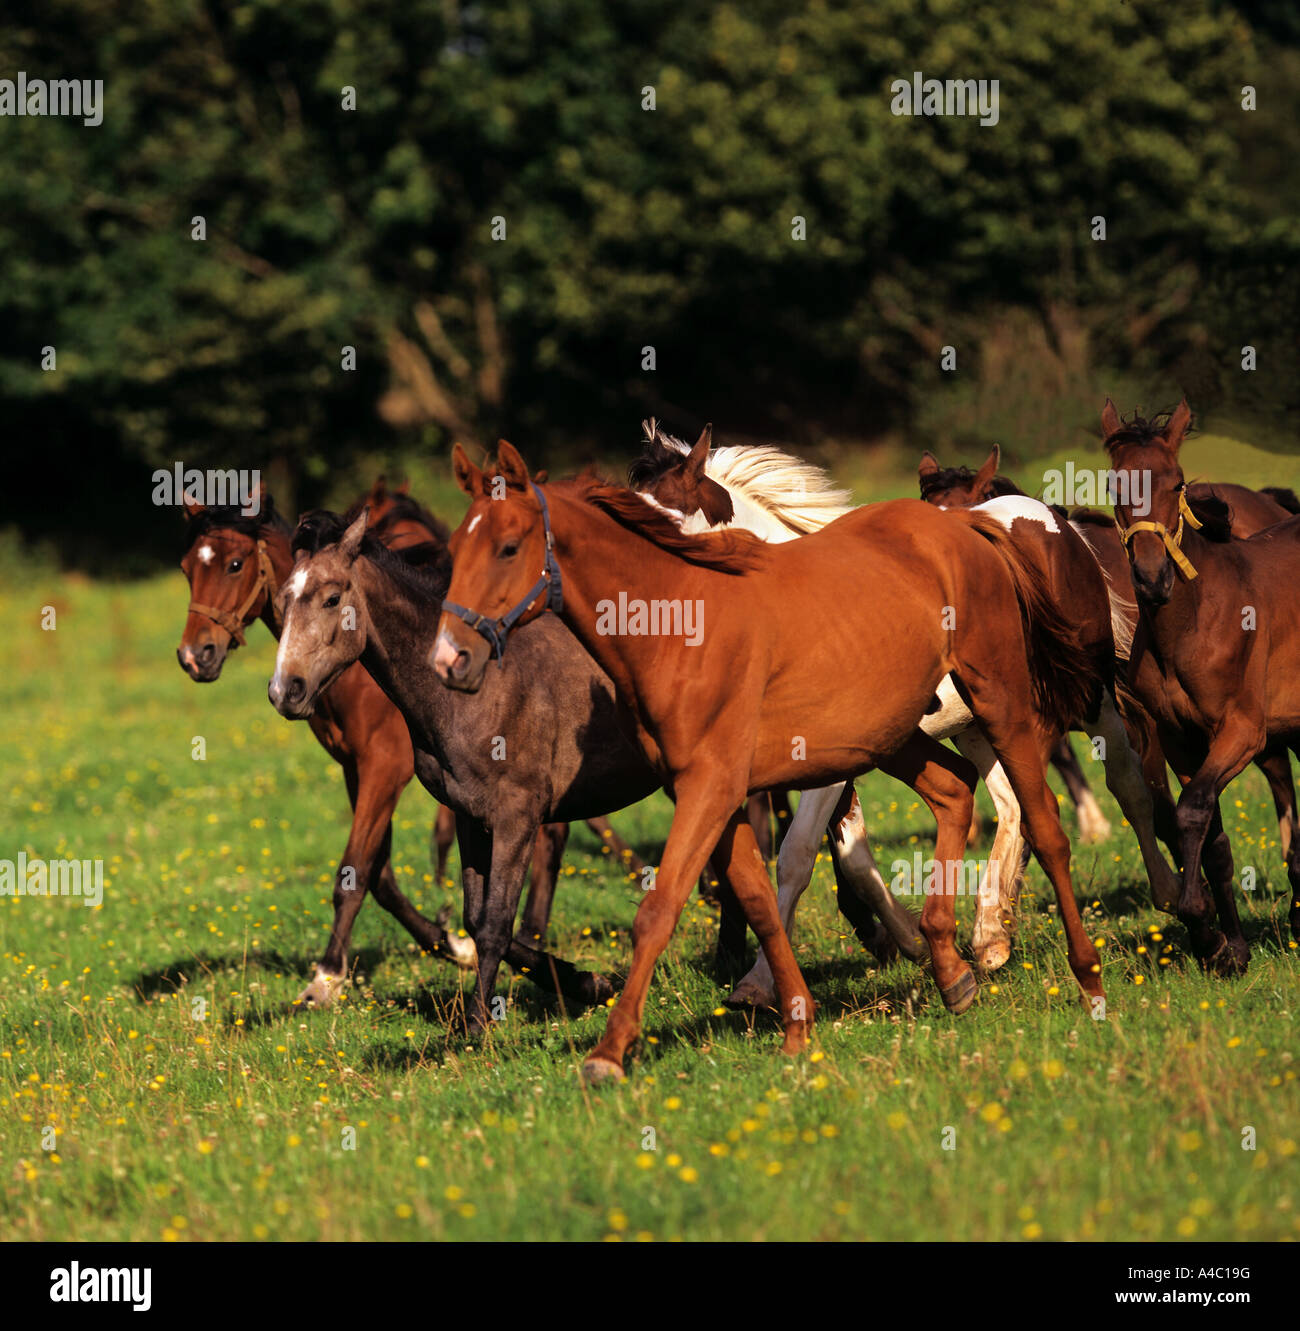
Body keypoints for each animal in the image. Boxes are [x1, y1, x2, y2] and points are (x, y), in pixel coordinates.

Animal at [431, 441, 1101, 1086]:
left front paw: (609, 1054)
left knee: (1043, 824)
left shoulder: (721, 789)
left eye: (508, 547)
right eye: (454, 551)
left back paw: (1079, 976)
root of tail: (966, 525)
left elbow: (668, 907)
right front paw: (794, 1023)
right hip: (896, 736)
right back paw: (952, 967)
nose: (449, 659)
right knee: (959, 791)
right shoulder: (718, 793)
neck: (680, 624)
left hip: (1001, 704)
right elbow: (761, 902)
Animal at [1101, 393, 1298, 968]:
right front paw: (1229, 947)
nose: (1151, 577)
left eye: (1178, 483)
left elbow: (1192, 812)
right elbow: (1214, 838)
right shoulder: (1180, 741)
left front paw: (1201, 922)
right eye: (1115, 487)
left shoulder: (1242, 732)